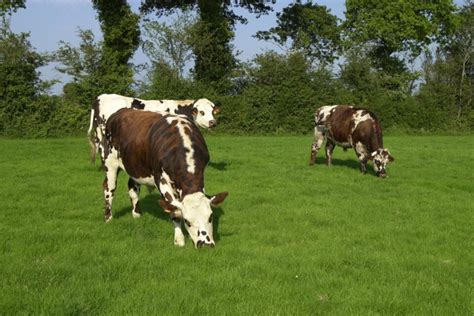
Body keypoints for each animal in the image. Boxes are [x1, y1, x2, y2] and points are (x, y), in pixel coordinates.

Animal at [101, 108, 228, 249]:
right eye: (187, 221)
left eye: (210, 217)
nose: (205, 244)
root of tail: (121, 111)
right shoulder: (160, 178)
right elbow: (174, 210)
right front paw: (179, 240)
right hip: (110, 162)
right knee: (109, 189)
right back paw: (108, 217)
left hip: (134, 166)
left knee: (133, 188)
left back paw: (137, 214)